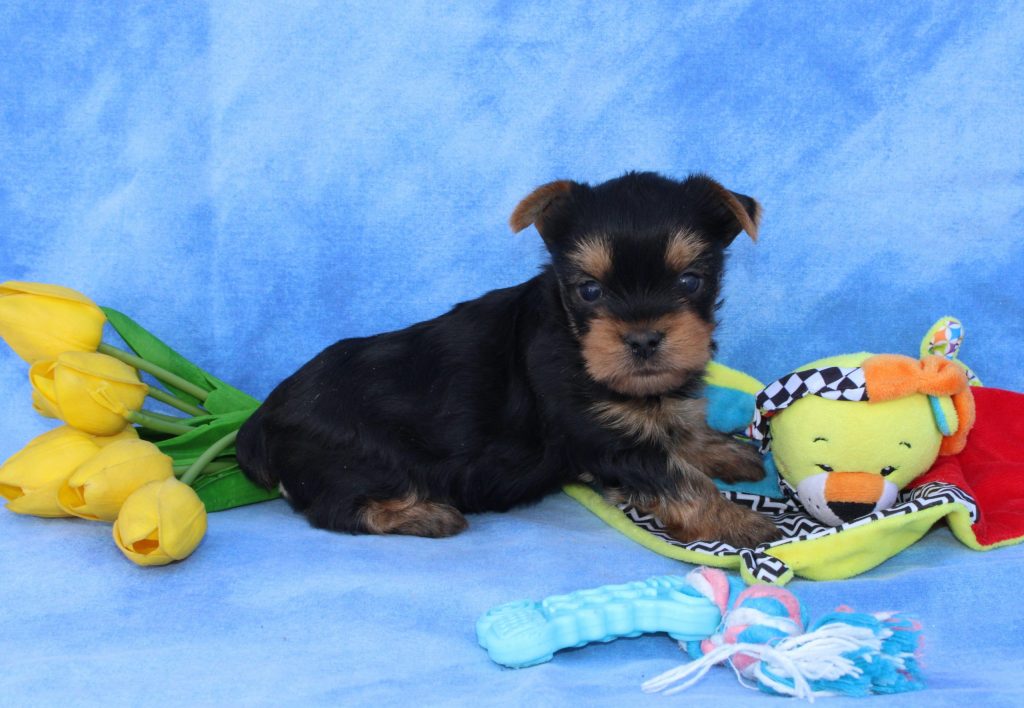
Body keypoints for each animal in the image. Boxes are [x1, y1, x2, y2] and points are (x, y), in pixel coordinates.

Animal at [236, 171, 780, 548]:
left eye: (690, 281)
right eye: (589, 290)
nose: (644, 340)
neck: (574, 338)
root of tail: (261, 421)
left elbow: (676, 429)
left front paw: (718, 449)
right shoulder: (605, 438)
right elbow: (679, 480)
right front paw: (742, 523)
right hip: (351, 462)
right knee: (336, 508)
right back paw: (423, 514)